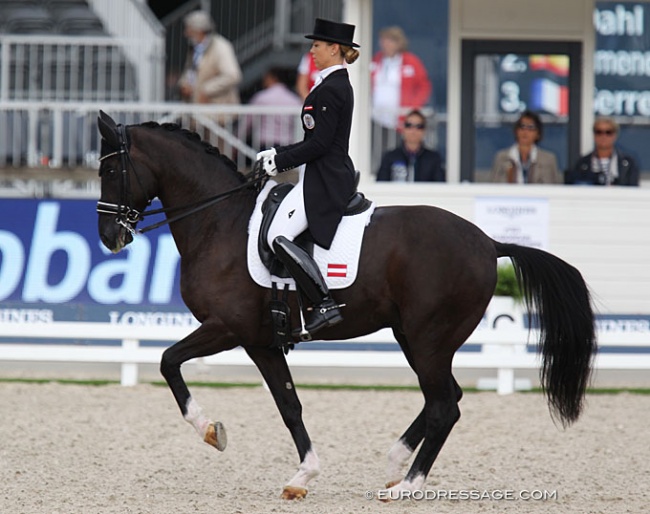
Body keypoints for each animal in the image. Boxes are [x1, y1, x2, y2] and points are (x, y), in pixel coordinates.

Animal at [93, 111, 596, 496]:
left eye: (111, 171)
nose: (109, 237)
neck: (220, 222)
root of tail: (489, 243)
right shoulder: (261, 341)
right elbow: (288, 404)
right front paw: (302, 476)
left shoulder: (227, 327)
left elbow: (167, 361)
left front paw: (210, 431)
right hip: (412, 336)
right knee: (445, 397)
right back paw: (396, 463)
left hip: (429, 338)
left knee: (444, 406)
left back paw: (408, 486)